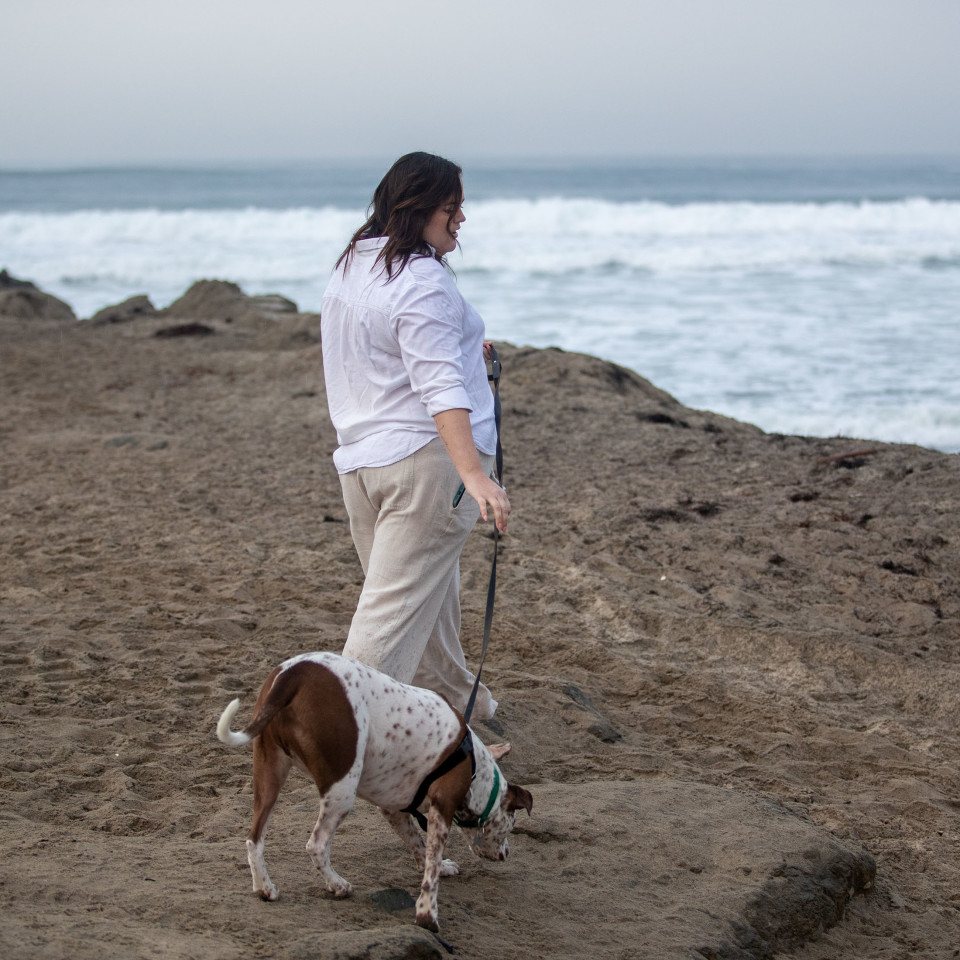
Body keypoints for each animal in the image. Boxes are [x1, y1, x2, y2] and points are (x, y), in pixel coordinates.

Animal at [218, 652, 532, 928]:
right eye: (511, 825)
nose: (506, 854)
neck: (474, 765)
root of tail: (293, 674)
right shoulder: (441, 811)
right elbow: (430, 869)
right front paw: (427, 914)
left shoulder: (395, 810)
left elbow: (418, 845)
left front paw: (441, 868)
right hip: (341, 789)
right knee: (316, 845)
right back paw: (337, 884)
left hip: (269, 775)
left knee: (254, 839)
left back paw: (265, 887)